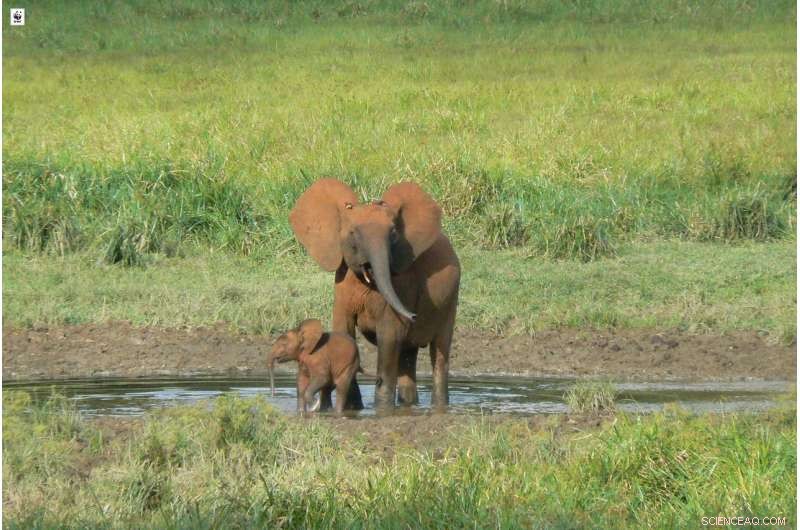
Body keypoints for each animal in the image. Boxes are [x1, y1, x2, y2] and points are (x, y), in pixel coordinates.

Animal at [290, 179, 460, 409]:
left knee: (439, 353)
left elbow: (389, 335)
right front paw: (354, 407)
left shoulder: (402, 284)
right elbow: (344, 330)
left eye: (393, 234)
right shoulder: (341, 283)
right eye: (353, 233)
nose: (413, 315)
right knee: (407, 355)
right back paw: (408, 405)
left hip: (450, 302)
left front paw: (381, 408)